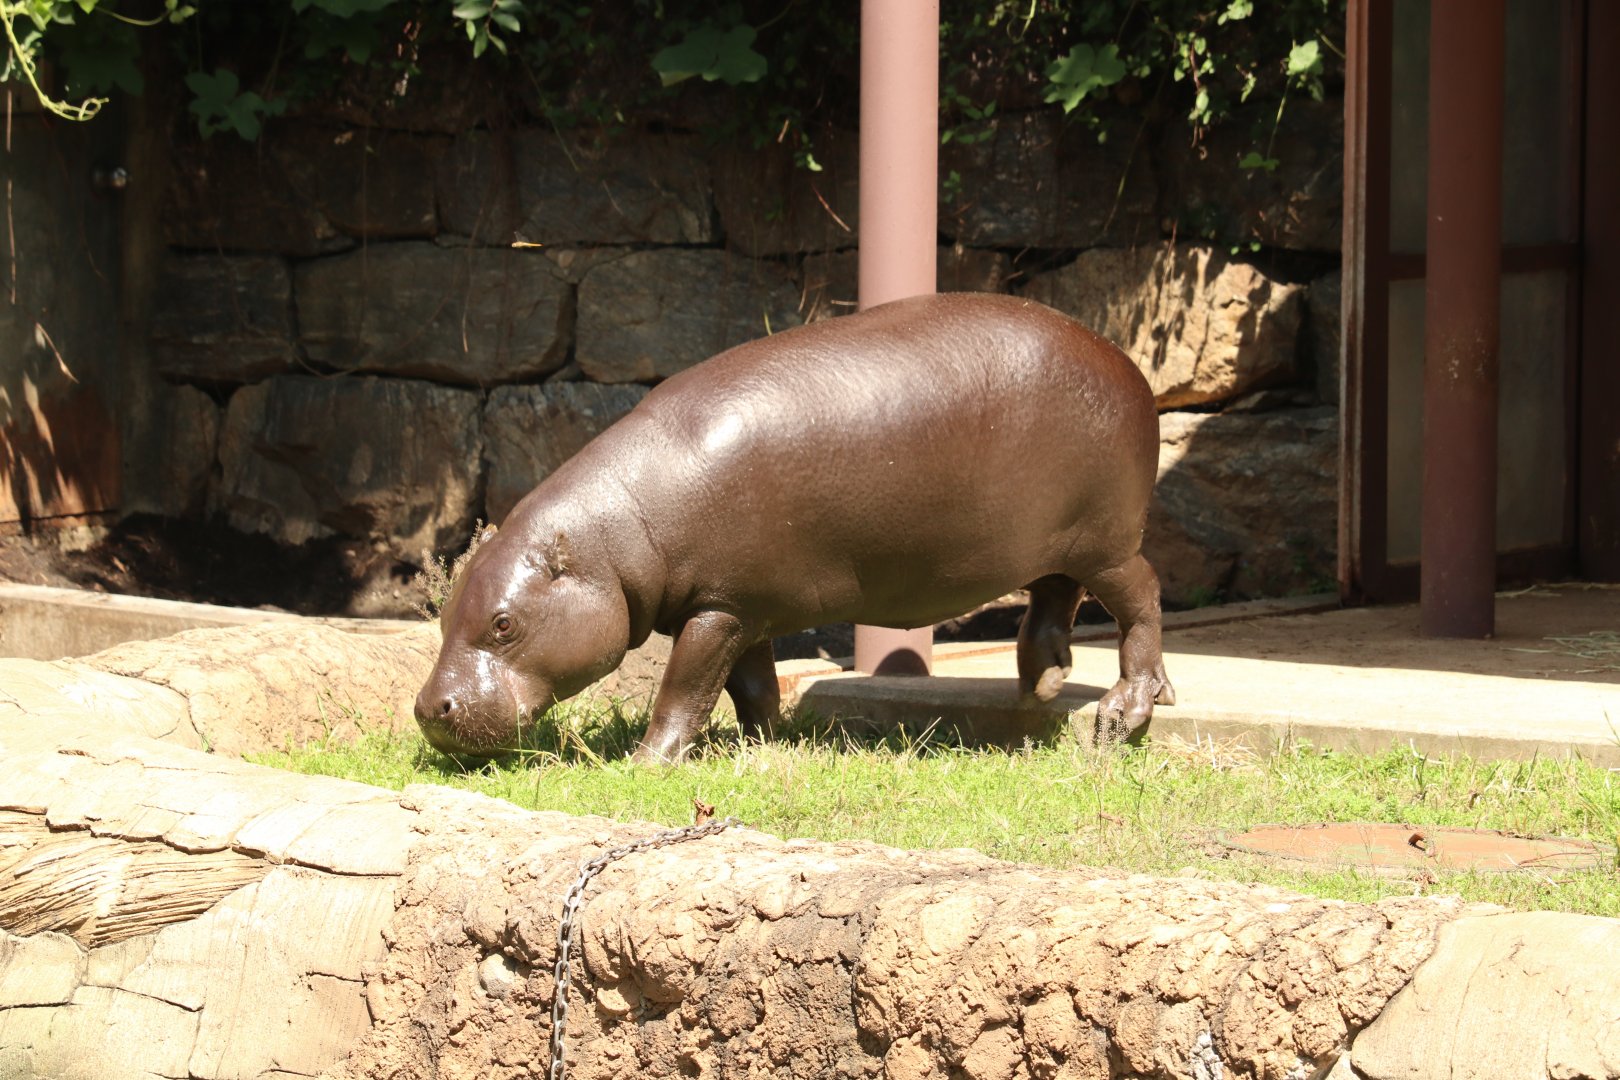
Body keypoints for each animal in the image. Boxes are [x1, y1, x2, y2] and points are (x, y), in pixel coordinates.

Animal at [416, 292, 1175, 763]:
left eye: (504, 624)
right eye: (447, 613)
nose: (428, 709)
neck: (617, 539)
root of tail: (1130, 366)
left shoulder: (716, 609)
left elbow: (684, 687)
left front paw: (649, 761)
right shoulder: (743, 609)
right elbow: (750, 687)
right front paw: (766, 745)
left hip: (1107, 539)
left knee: (1141, 596)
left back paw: (1126, 713)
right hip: (1052, 540)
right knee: (1055, 596)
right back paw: (1040, 686)